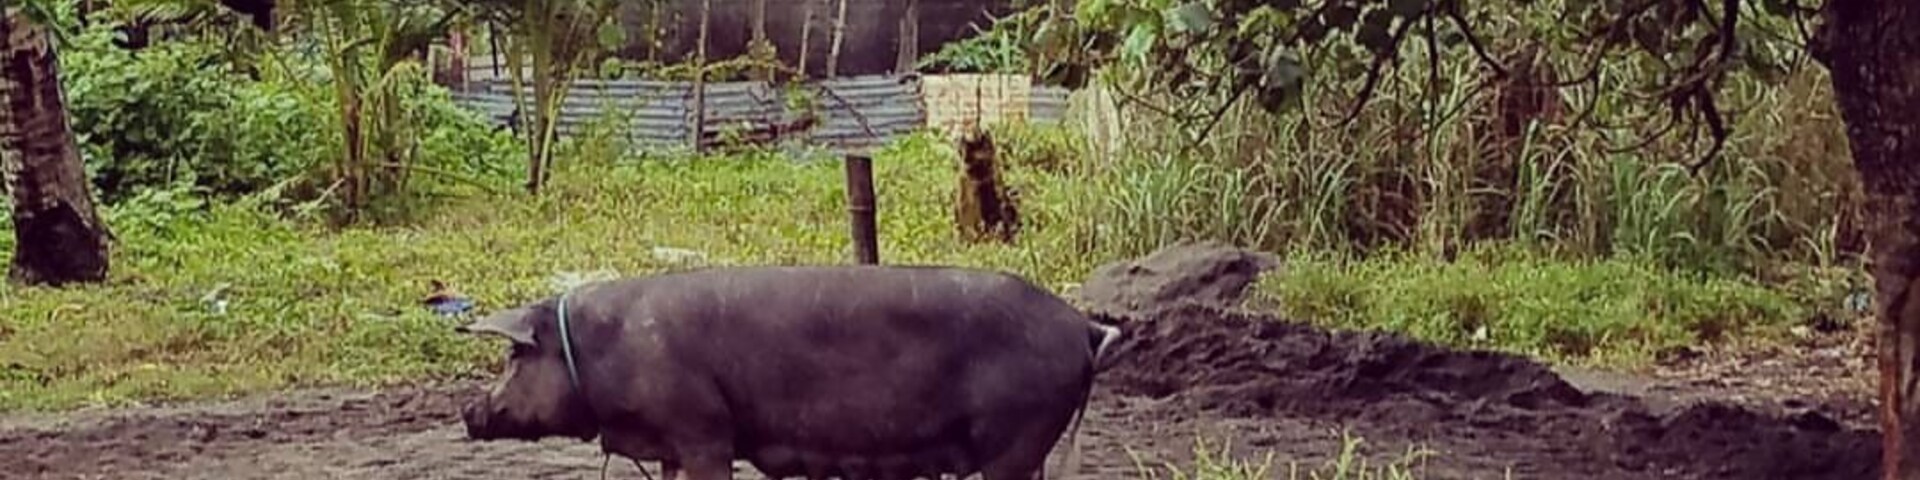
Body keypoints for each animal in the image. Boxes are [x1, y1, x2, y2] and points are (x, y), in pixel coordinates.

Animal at [458, 265, 1125, 480]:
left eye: (513, 355)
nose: (468, 411)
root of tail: (1081, 327)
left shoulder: (703, 430)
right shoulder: (670, 441)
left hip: (1014, 438)